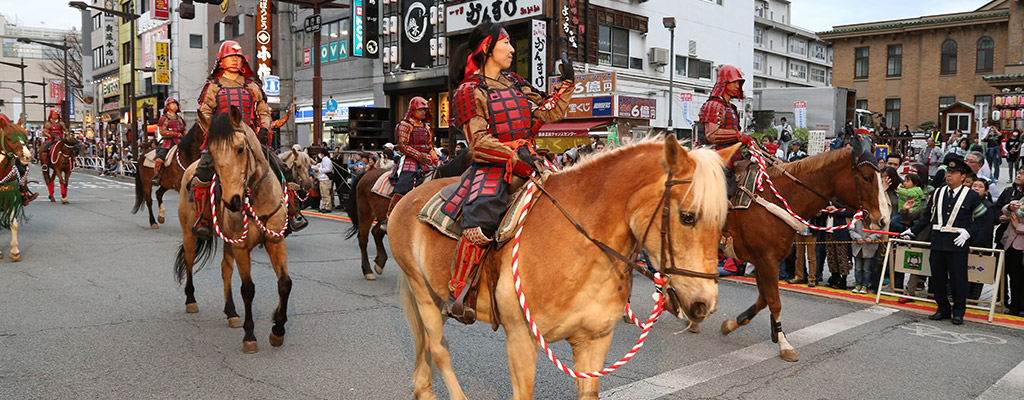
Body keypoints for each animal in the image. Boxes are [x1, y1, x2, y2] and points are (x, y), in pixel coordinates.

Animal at [173, 106, 292, 353]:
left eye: (240, 149)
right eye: (213, 154)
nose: (232, 201)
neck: (257, 197)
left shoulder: (275, 241)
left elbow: (285, 283)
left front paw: (278, 330)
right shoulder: (242, 247)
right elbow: (248, 289)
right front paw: (250, 336)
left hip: (228, 240)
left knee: (225, 269)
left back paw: (231, 312)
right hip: (189, 233)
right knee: (189, 261)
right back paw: (191, 300)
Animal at [344, 151, 471, 282]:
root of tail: (366, 173)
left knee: (376, 232)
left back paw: (380, 262)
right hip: (365, 212)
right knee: (363, 239)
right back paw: (368, 270)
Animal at [387, 136, 733, 398]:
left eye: (723, 221)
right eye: (687, 216)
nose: (704, 304)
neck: (581, 250)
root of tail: (409, 196)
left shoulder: (594, 340)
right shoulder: (522, 340)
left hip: (436, 296)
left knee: (426, 343)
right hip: (421, 290)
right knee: (438, 348)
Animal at [696, 135, 888, 364]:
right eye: (867, 177)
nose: (883, 219)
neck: (779, 198)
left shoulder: (764, 260)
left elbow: (764, 300)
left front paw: (733, 324)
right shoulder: (766, 260)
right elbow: (774, 302)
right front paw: (784, 344)